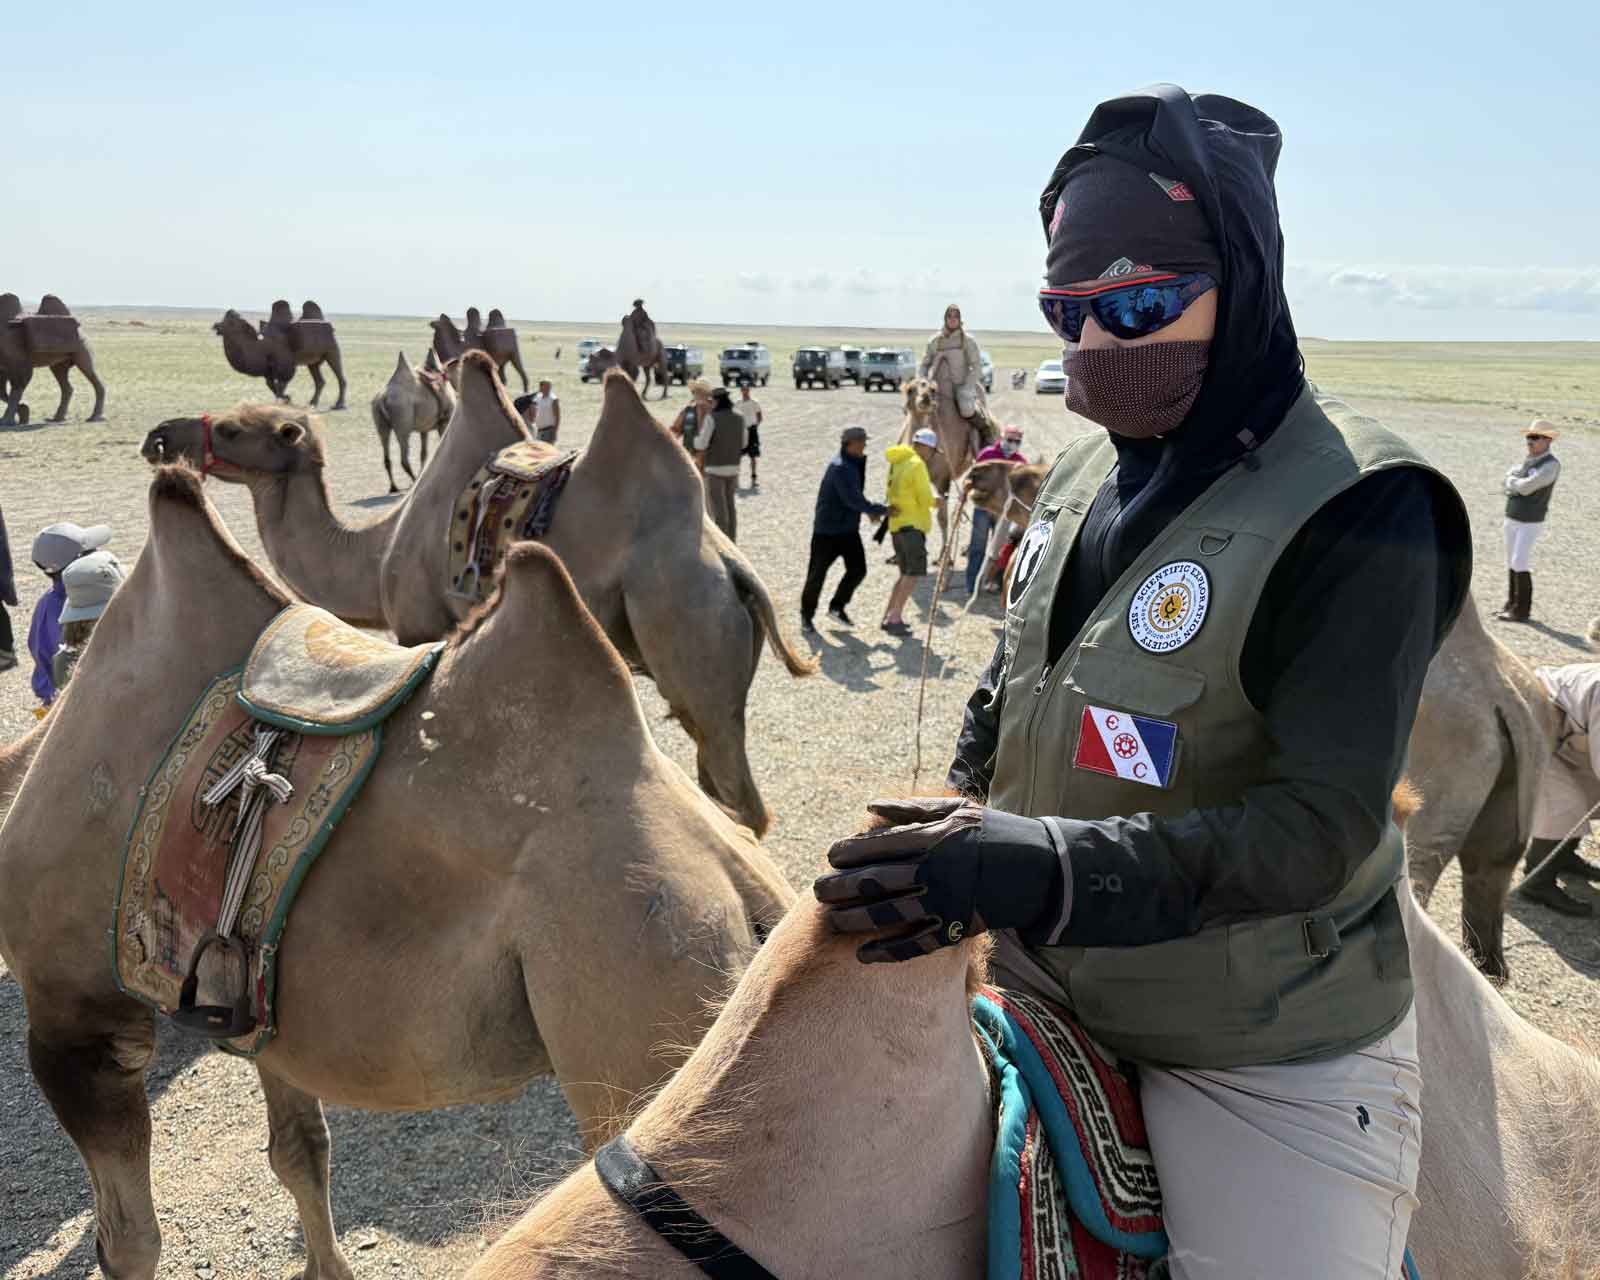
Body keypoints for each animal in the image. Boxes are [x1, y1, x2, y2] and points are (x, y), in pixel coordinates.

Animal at [0, 292, 108, 426]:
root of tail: (80, 329)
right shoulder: (4, 366)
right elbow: (3, 391)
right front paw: (23, 413)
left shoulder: (18, 361)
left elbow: (17, 387)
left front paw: (8, 420)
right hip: (61, 362)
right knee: (65, 383)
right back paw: (57, 418)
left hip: (82, 348)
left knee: (90, 372)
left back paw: (94, 417)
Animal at [0, 463, 794, 1280]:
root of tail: (748, 897)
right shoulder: (257, 994)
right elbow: (299, 1152)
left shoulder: (74, 1006)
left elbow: (129, 1242)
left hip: (647, 994)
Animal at [214, 302, 348, 410]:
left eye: (230, 322)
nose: (216, 325)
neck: (261, 347)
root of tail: (329, 326)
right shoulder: (268, 370)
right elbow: (272, 385)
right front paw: (287, 399)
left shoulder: (286, 366)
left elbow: (280, 386)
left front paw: (285, 400)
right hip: (314, 362)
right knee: (320, 381)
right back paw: (312, 403)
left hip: (331, 352)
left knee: (340, 378)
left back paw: (339, 405)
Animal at [371, 350, 454, 493]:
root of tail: (383, 398)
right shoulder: (444, 421)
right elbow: (442, 447)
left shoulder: (424, 428)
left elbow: (423, 453)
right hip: (402, 420)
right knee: (404, 457)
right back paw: (413, 483)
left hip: (381, 422)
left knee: (386, 454)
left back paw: (394, 487)